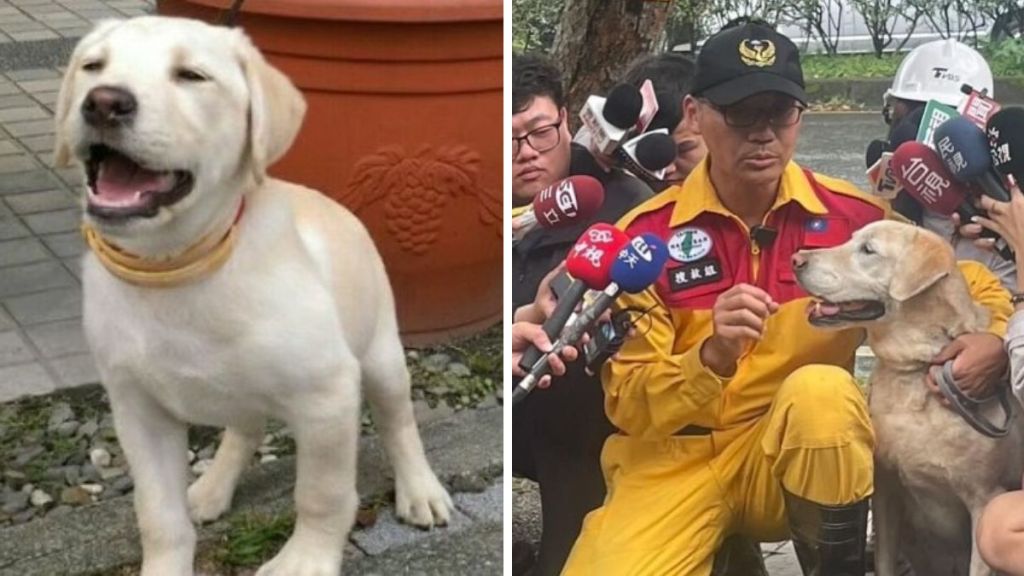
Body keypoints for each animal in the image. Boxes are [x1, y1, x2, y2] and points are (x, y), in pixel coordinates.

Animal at [55, 15, 452, 569]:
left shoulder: (327, 394)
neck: (174, 266)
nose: (103, 102)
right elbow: (158, 515)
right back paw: (211, 488)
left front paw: (306, 561)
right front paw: (167, 562)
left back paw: (421, 490)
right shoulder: (138, 410)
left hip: (380, 355)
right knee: (246, 429)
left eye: (192, 76)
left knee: (399, 421)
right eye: (93, 66)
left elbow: (323, 494)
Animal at [790, 219, 1024, 573]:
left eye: (868, 250)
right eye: (850, 239)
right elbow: (884, 561)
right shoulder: (886, 493)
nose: (796, 259)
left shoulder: (985, 499)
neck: (917, 368)